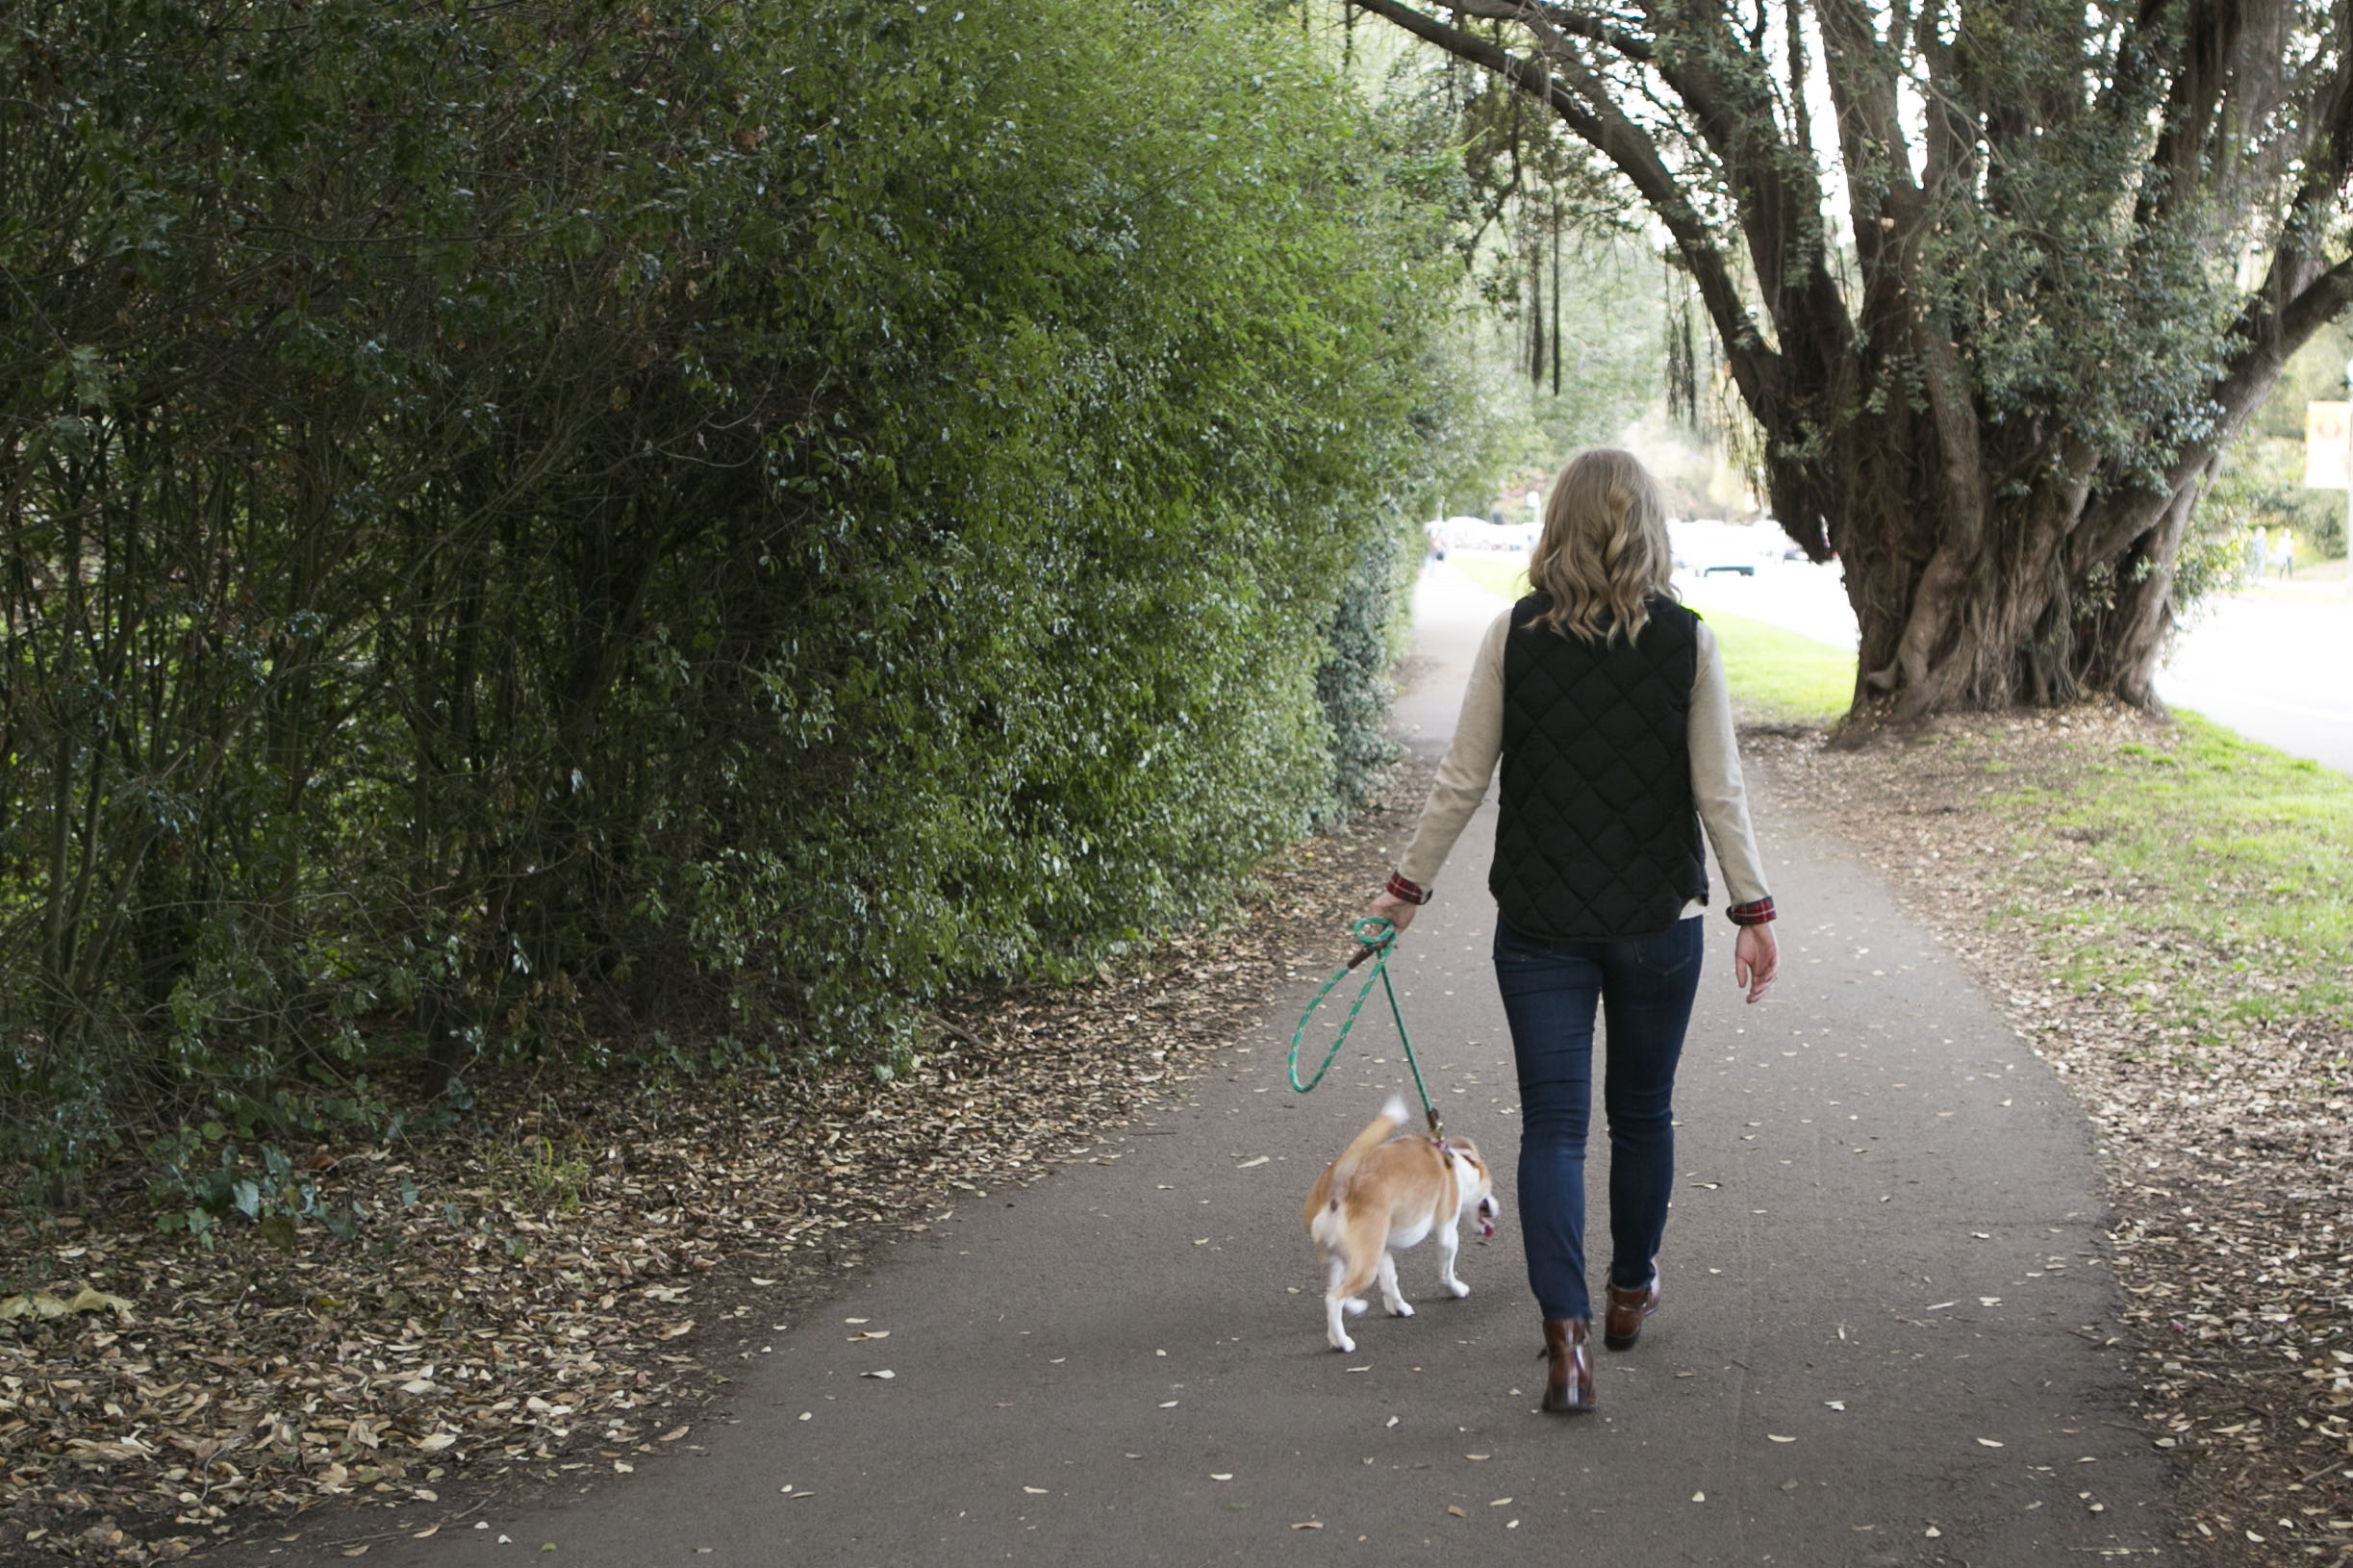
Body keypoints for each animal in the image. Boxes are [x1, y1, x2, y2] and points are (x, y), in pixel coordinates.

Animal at [1307, 1092, 1486, 1346]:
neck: (1452, 1163)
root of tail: (1339, 1190)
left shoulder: (1383, 1251)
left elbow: (1390, 1282)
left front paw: (1398, 1307)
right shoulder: (1448, 1234)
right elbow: (1446, 1271)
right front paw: (1457, 1289)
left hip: (1342, 1258)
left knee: (1335, 1288)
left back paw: (1349, 1315)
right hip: (1365, 1268)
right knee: (1333, 1298)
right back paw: (1343, 1341)